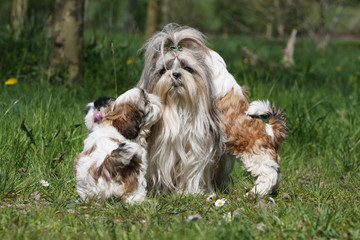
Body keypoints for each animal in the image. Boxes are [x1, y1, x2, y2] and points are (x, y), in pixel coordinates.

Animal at [138, 24, 286, 196]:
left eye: (187, 67)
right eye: (163, 70)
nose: (175, 74)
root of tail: (272, 129)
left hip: (256, 155)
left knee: (269, 173)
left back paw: (257, 191)